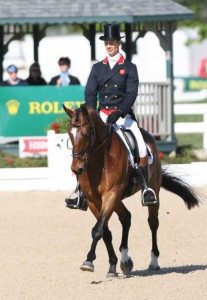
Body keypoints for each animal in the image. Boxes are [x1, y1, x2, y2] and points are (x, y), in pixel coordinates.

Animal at [63, 102, 201, 276]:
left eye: (87, 133)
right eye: (69, 133)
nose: (77, 169)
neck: (100, 160)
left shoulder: (111, 194)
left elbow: (98, 230)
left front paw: (88, 261)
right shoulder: (94, 200)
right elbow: (104, 231)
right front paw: (112, 266)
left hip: (150, 190)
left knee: (153, 222)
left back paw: (153, 262)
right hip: (117, 200)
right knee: (126, 217)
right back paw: (125, 261)